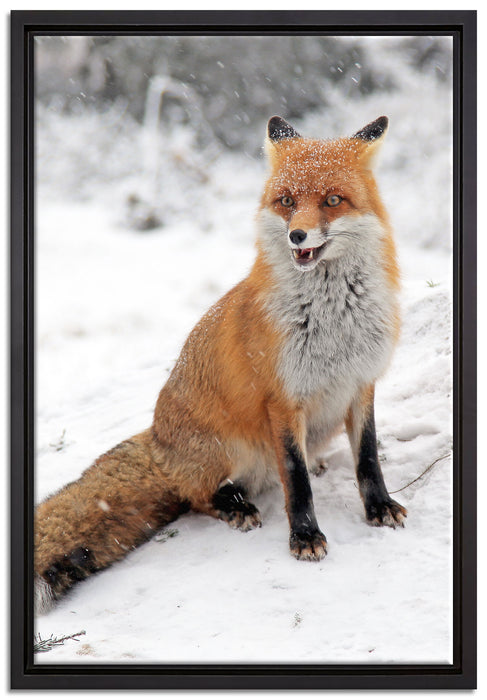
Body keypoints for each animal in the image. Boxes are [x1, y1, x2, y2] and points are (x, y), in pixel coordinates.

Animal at [35, 115, 407, 615]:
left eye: (332, 201)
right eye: (287, 202)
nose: (297, 235)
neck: (333, 322)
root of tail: (156, 440)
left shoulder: (361, 383)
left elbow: (367, 459)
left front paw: (379, 507)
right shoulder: (282, 401)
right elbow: (296, 481)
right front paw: (304, 536)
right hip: (229, 449)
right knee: (197, 496)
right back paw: (235, 506)